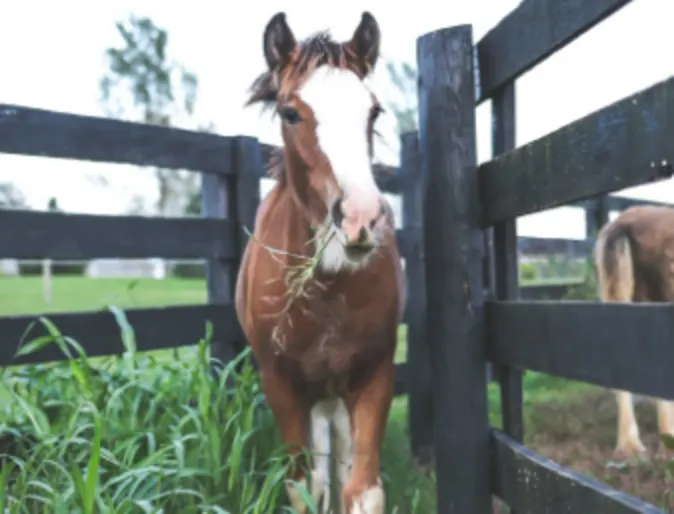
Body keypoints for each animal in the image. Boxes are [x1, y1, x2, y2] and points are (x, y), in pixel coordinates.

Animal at [236, 11, 404, 512]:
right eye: (291, 113)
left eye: (373, 112)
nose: (360, 219)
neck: (328, 284)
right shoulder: (281, 384)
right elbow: (304, 486)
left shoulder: (373, 374)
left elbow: (363, 490)